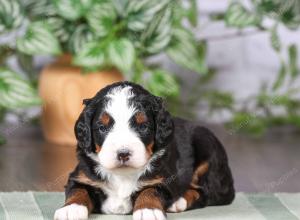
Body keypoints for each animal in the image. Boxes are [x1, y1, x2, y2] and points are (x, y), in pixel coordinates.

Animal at [55, 81, 236, 219]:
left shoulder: (163, 179)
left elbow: (150, 190)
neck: (123, 174)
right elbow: (78, 190)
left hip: (207, 150)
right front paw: (70, 209)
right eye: (102, 127)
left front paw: (148, 210)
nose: (123, 154)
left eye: (143, 126)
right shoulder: (81, 175)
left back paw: (178, 202)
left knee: (206, 193)